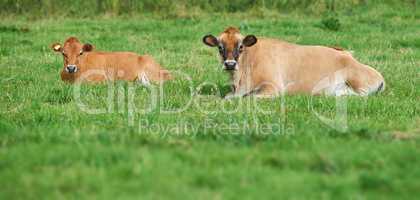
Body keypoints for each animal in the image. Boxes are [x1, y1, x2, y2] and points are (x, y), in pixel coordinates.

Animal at [203, 26, 384, 98]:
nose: (230, 64)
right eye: (220, 47)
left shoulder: (273, 87)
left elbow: (245, 97)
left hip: (358, 81)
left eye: (240, 46)